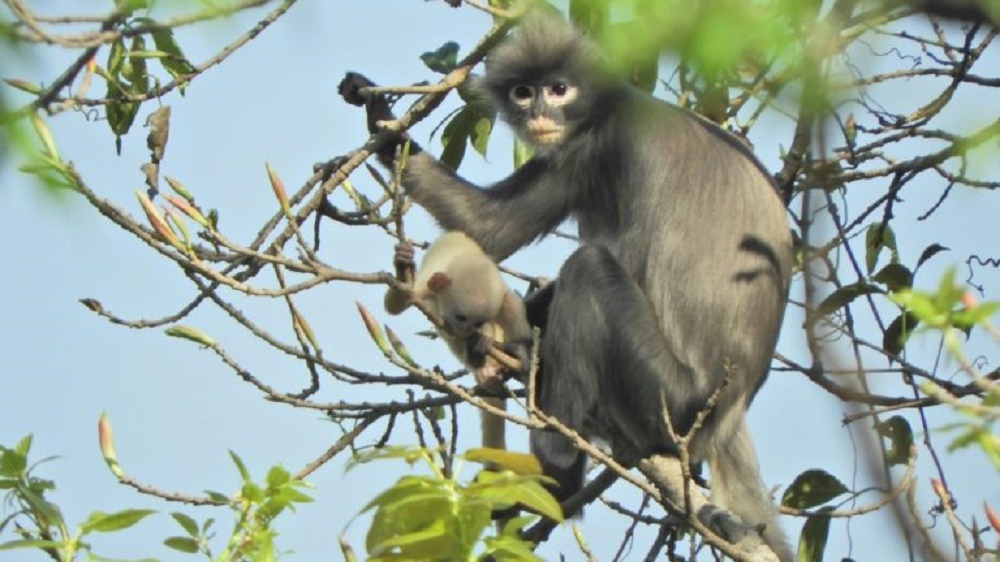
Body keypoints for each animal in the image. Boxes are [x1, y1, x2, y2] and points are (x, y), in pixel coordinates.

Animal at [340, 5, 792, 560]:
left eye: (559, 89)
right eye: (523, 92)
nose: (538, 113)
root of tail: (727, 411)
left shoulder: (609, 147)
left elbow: (592, 249)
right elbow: (490, 226)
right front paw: (380, 117)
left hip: (668, 399)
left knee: (590, 268)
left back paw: (554, 479)